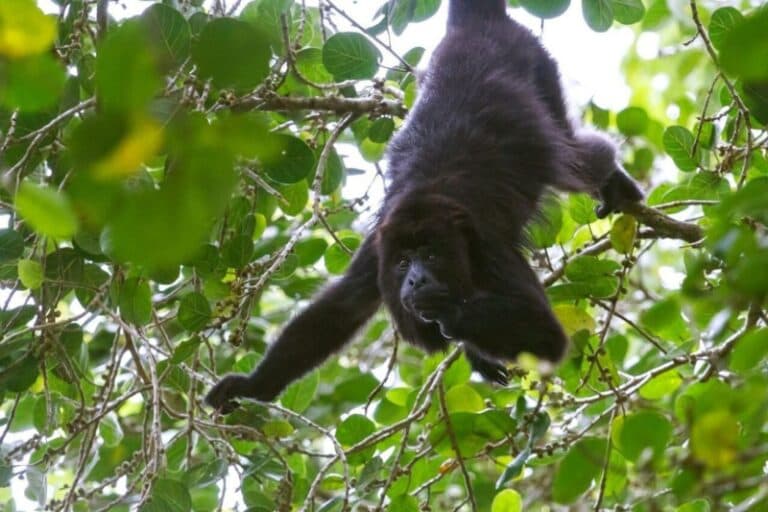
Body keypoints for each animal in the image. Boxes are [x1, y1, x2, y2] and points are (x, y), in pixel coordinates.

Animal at [205, 0, 643, 412]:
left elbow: (546, 336)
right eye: (402, 263)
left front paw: (447, 309)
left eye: (431, 256)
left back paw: (612, 181)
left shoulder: (488, 247)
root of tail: (473, 28)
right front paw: (252, 386)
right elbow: (340, 310)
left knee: (575, 156)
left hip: (538, 63)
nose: (415, 280)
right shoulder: (378, 249)